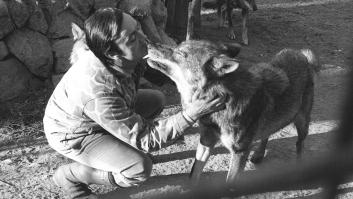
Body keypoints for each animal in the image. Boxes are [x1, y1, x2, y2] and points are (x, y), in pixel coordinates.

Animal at [146, 40, 320, 185]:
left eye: (181, 53)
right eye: (178, 45)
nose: (149, 44)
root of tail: (301, 54)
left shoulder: (239, 152)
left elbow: (229, 183)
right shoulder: (206, 140)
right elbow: (194, 172)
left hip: (302, 123)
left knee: (299, 144)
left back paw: (298, 165)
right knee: (266, 133)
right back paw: (258, 155)